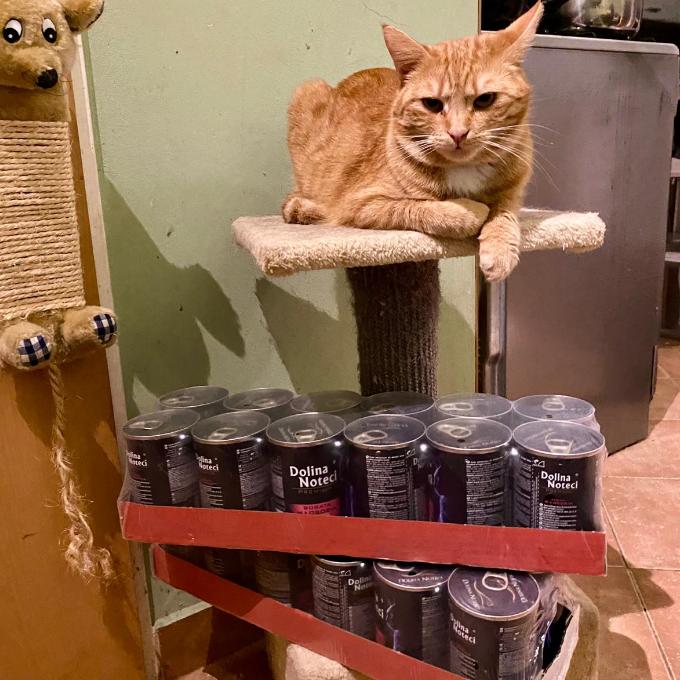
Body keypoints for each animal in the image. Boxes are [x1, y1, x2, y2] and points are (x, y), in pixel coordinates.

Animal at [283, 2, 543, 281]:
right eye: (432, 104)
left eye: (485, 100)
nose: (458, 133)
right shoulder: (364, 205)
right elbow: (423, 207)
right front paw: (471, 212)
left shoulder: (513, 192)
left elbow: (505, 213)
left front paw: (500, 249)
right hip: (306, 94)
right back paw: (307, 210)